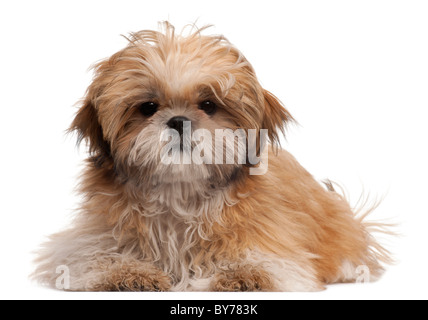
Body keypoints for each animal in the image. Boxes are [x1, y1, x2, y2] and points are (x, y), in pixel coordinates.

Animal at [32, 22, 392, 292]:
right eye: (148, 108)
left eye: (208, 105)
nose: (179, 121)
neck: (179, 193)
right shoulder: (87, 240)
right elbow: (92, 256)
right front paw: (129, 273)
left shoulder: (277, 245)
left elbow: (267, 264)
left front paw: (241, 274)